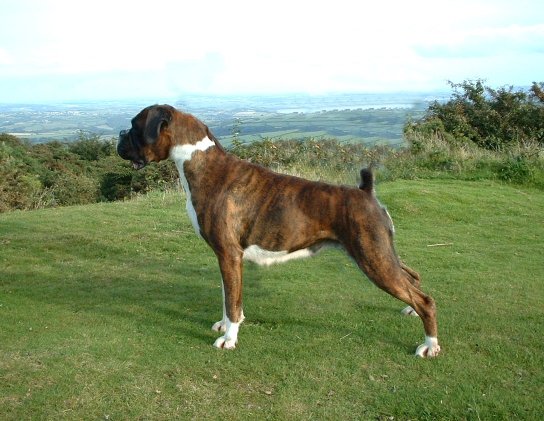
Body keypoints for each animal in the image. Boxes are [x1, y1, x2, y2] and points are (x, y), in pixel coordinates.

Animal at [119, 103, 442, 356]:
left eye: (134, 126)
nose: (120, 136)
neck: (201, 162)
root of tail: (366, 192)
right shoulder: (226, 258)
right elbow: (228, 296)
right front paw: (225, 325)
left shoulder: (229, 255)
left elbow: (232, 301)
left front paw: (229, 338)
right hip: (382, 253)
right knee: (413, 278)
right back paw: (411, 311)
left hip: (374, 259)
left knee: (425, 299)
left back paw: (430, 344)